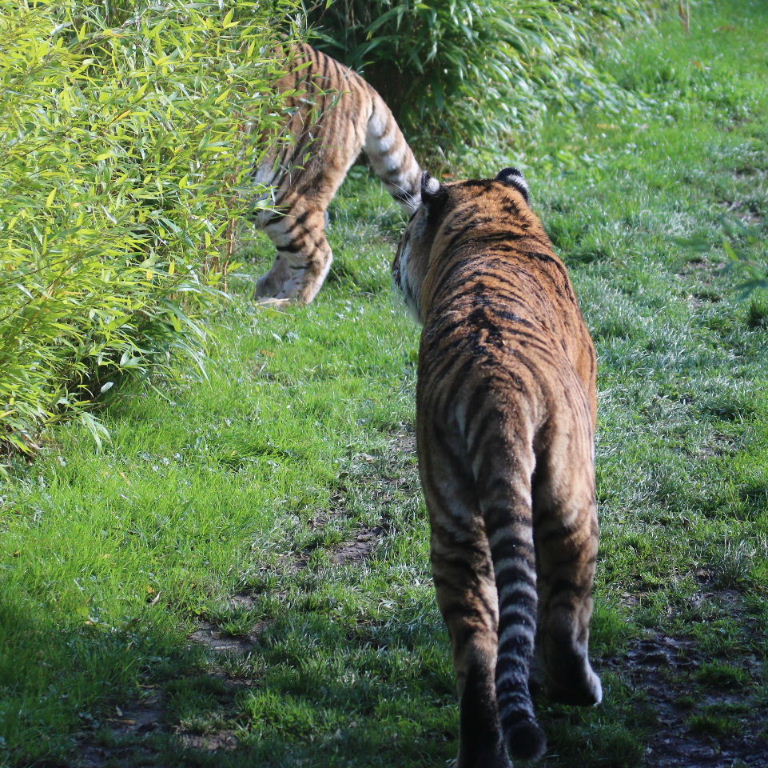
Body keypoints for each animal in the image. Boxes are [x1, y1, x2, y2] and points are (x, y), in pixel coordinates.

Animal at [392, 170, 604, 768]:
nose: (392, 264)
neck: (493, 222)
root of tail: (496, 391)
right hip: (571, 499)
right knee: (563, 617)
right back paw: (579, 689)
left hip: (454, 525)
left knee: (478, 650)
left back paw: (485, 750)